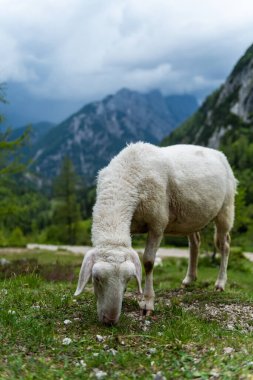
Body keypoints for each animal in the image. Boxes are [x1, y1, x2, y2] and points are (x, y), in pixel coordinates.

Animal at [75, 141, 237, 326]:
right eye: (96, 279)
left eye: (128, 279)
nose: (110, 320)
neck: (127, 175)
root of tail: (218, 153)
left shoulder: (157, 223)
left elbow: (148, 262)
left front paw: (148, 303)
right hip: (191, 218)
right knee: (195, 242)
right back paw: (189, 279)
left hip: (226, 209)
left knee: (224, 245)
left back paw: (220, 283)